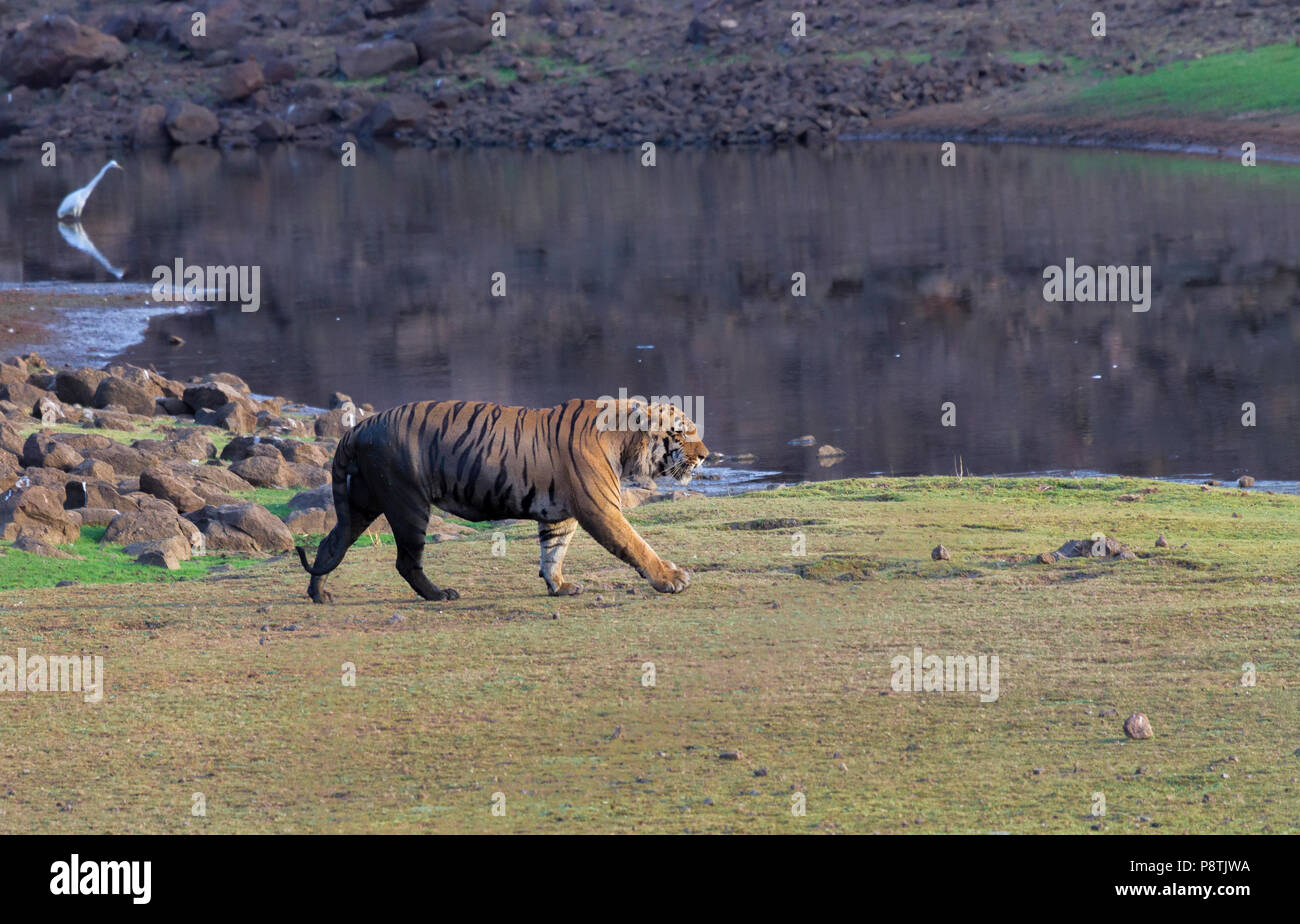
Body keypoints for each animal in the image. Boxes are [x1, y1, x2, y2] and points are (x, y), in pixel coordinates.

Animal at [292, 400, 712, 608]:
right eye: (682, 432)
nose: (707, 455)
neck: (625, 442)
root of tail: (358, 427)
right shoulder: (600, 508)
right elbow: (636, 545)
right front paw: (671, 578)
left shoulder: (560, 513)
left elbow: (553, 551)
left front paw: (558, 586)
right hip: (407, 503)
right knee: (406, 561)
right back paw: (439, 595)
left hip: (361, 503)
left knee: (330, 544)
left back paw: (319, 594)